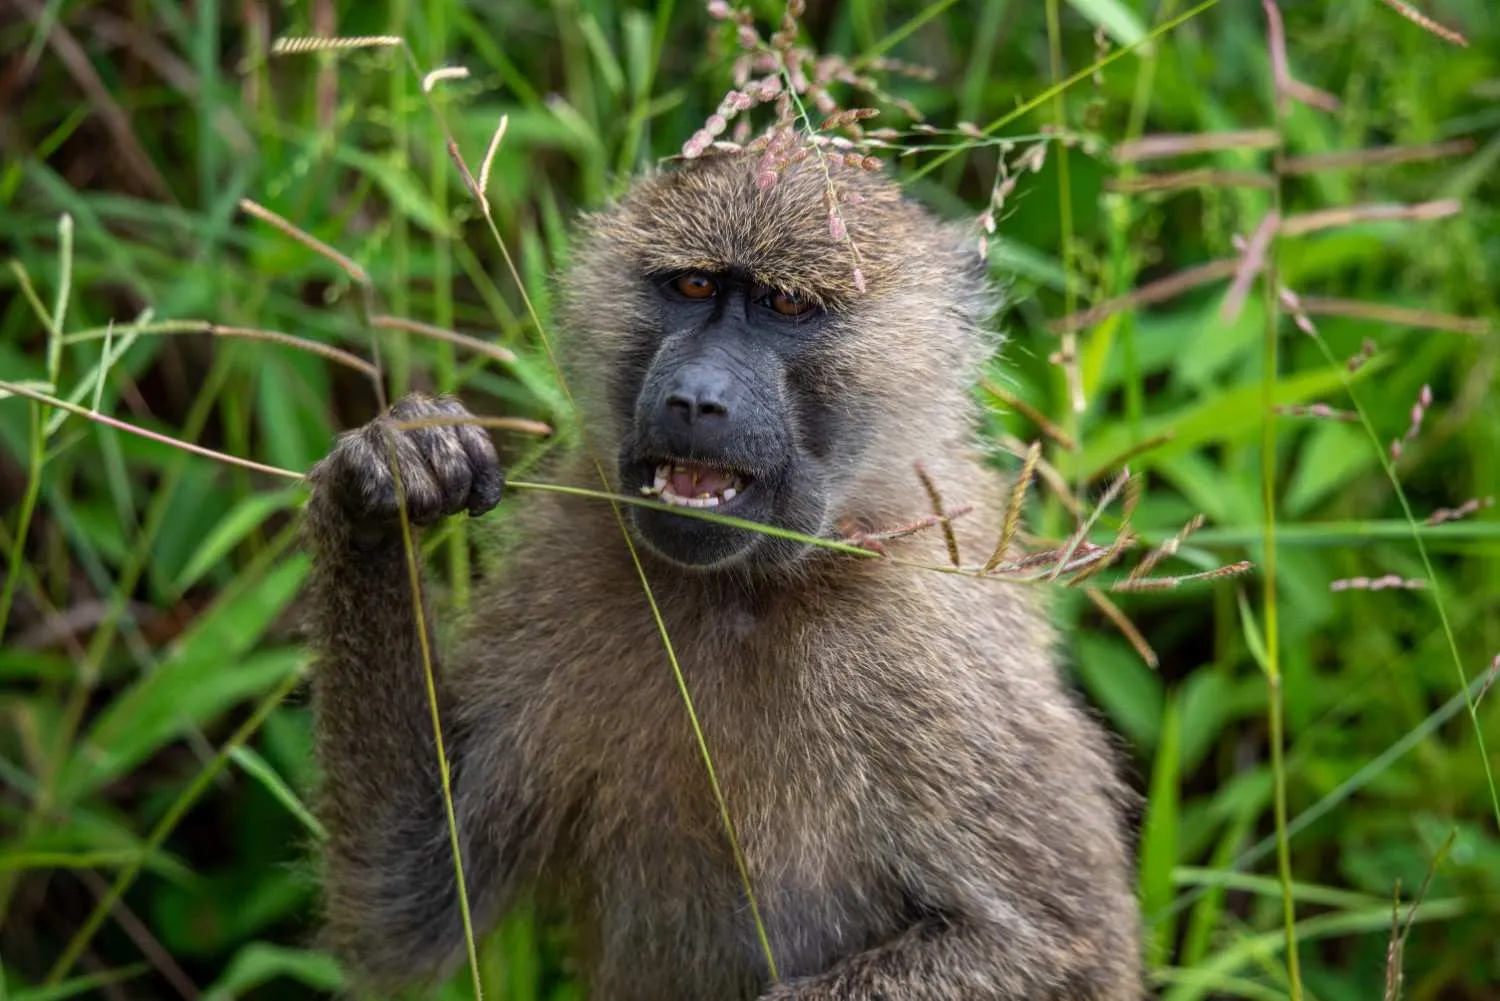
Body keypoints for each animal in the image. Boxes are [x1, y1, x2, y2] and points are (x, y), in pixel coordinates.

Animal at [303, 143, 1143, 1001]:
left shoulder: (930, 654)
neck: (738, 590)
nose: (696, 398)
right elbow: (408, 896)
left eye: (785, 303)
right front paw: (393, 469)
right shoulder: (560, 563)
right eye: (694, 287)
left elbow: (1060, 943)